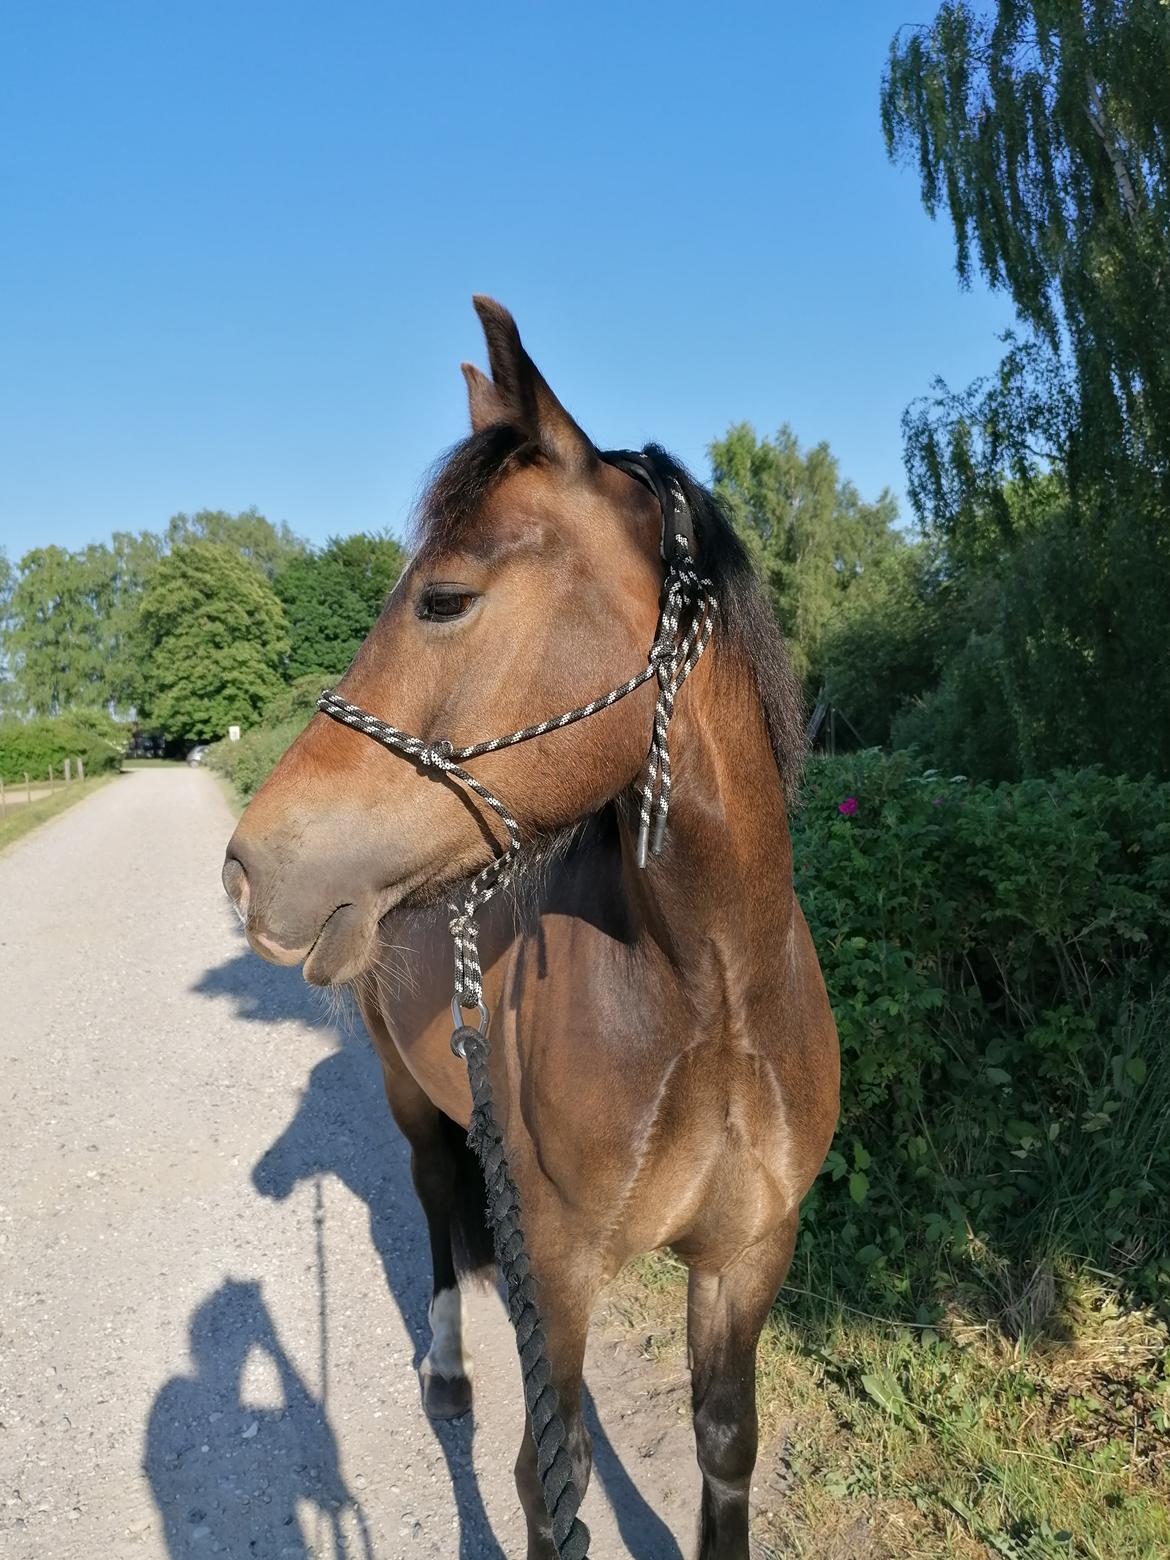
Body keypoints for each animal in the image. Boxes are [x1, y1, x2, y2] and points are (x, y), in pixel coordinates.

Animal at [222, 297, 839, 1560]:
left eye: (445, 598)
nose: (249, 870)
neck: (712, 997)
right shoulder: (558, 1265)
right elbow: (546, 1484)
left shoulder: (747, 1259)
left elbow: (724, 1451)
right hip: (411, 1099)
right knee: (437, 1203)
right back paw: (452, 1368)